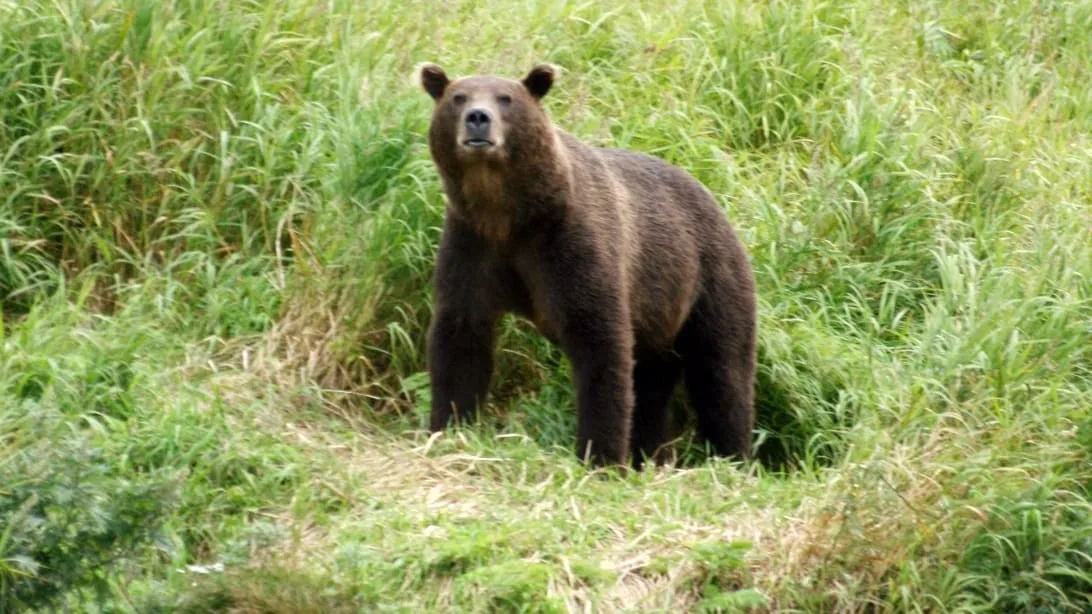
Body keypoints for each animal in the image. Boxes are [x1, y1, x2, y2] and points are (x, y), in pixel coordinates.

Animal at [417, 62, 757, 469]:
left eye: (506, 98)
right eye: (458, 97)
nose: (478, 118)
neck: (509, 214)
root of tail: (717, 203)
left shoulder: (571, 243)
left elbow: (600, 342)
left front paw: (601, 455)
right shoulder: (473, 245)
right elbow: (461, 335)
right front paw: (447, 427)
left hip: (708, 279)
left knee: (721, 371)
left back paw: (732, 454)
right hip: (659, 317)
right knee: (653, 383)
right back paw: (651, 453)